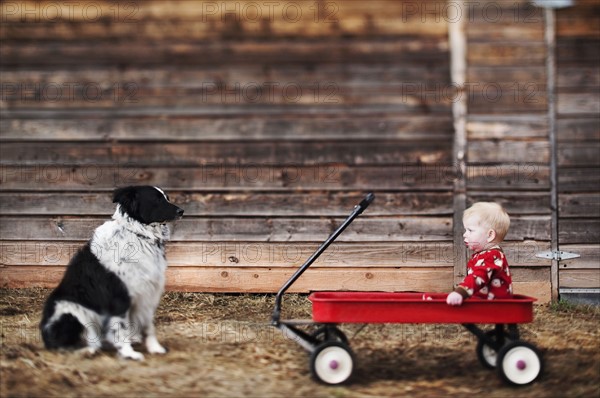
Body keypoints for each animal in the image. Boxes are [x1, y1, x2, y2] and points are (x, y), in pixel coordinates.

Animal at [39, 187, 183, 360]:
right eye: (157, 199)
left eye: (167, 198)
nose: (181, 211)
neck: (138, 235)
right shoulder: (119, 298)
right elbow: (121, 328)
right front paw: (129, 354)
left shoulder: (147, 293)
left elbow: (149, 327)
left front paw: (155, 348)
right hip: (72, 312)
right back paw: (88, 350)